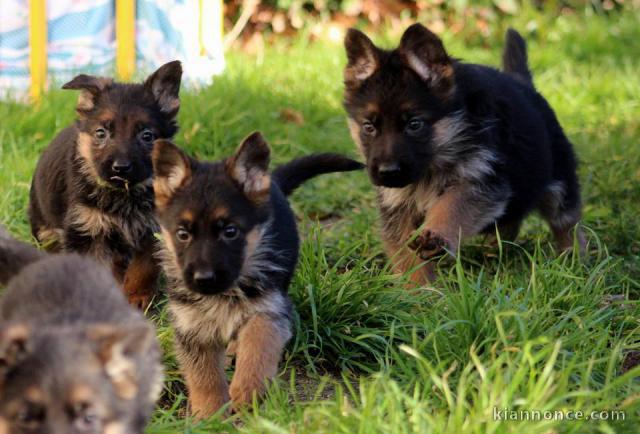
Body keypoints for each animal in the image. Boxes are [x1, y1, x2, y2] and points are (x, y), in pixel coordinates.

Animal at [27, 60, 182, 308]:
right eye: (101, 133)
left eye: (147, 136)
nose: (121, 168)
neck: (124, 194)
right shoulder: (88, 233)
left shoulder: (151, 231)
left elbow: (144, 268)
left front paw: (137, 298)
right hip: (47, 232)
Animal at [148, 133, 362, 418]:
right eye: (182, 234)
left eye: (230, 231)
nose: (204, 279)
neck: (225, 293)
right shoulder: (190, 326)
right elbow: (202, 374)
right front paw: (209, 413)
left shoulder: (270, 309)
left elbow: (258, 344)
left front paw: (247, 390)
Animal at [344, 25, 584, 284]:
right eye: (369, 127)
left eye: (414, 124)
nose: (388, 173)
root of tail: (524, 84)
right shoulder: (397, 208)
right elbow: (407, 254)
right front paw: (417, 288)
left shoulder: (480, 181)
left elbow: (452, 206)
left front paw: (436, 235)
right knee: (510, 220)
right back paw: (495, 252)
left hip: (559, 182)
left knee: (566, 221)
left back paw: (575, 259)